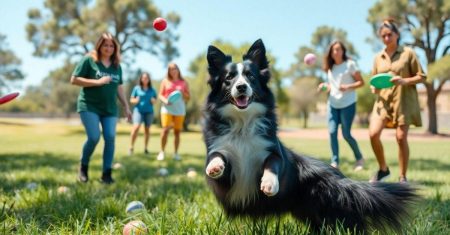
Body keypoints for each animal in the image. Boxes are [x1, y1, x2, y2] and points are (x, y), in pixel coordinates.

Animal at [202, 39, 416, 232]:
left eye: (251, 77)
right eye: (229, 78)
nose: (241, 87)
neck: (242, 122)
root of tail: (343, 179)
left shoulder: (273, 151)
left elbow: (272, 164)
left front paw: (270, 184)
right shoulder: (221, 159)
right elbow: (217, 156)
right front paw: (214, 167)